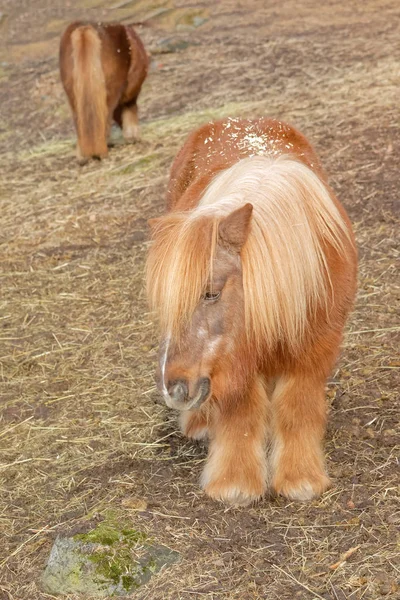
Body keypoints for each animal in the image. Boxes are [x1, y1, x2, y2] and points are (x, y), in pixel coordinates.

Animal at [61, 21, 149, 164]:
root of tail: (84, 29)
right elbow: (129, 109)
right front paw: (132, 136)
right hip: (110, 94)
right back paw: (102, 152)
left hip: (73, 96)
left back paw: (84, 156)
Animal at [145, 118, 358, 506]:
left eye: (211, 293)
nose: (173, 389)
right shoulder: (236, 361)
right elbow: (242, 416)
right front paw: (235, 485)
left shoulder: (316, 349)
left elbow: (296, 407)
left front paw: (301, 479)